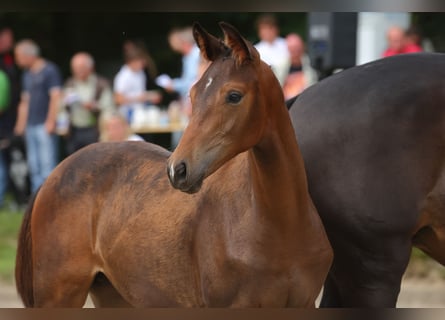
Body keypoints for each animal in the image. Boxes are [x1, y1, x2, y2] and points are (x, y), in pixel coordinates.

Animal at [14, 21, 330, 308]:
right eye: (192, 94)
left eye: (234, 95)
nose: (177, 170)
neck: (278, 224)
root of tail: (53, 175)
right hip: (59, 296)